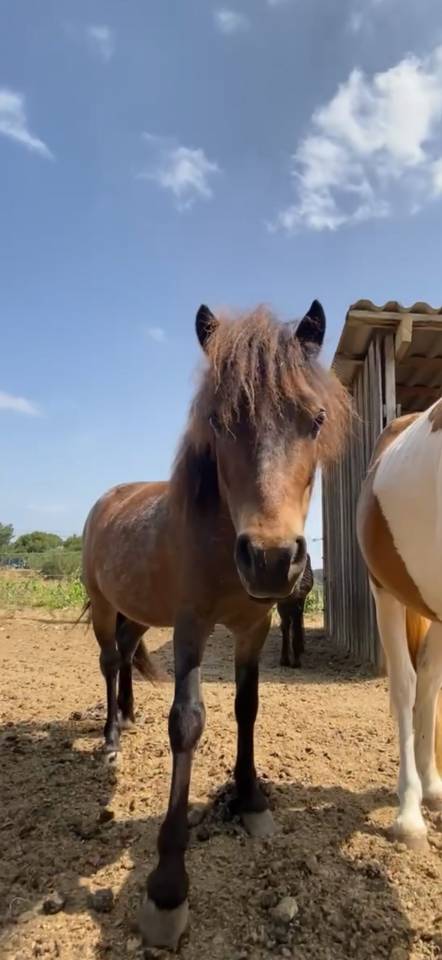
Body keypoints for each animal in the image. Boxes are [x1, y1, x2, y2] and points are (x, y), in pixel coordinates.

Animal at [81, 300, 351, 948]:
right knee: (108, 661)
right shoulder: (190, 629)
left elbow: (247, 709)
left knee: (125, 656)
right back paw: (110, 739)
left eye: (316, 419)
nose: (274, 559)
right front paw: (166, 889)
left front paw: (250, 800)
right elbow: (188, 724)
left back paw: (128, 716)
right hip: (103, 606)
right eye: (218, 421)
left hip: (137, 614)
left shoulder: (254, 627)